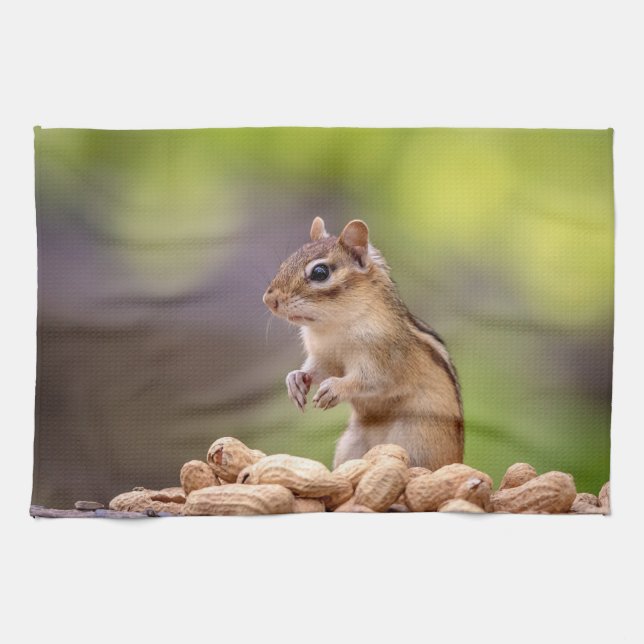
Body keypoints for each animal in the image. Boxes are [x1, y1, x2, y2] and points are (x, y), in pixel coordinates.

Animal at [263, 217, 464, 470]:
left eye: (320, 272)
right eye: (284, 264)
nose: (269, 300)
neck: (333, 326)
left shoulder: (385, 358)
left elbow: (371, 380)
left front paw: (335, 388)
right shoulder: (324, 357)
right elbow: (317, 370)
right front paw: (296, 380)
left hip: (419, 439)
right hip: (351, 444)